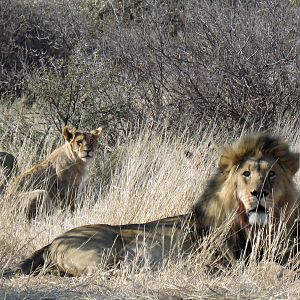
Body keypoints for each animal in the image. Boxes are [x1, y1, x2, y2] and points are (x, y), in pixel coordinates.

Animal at [3, 134, 298, 276]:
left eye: (272, 174)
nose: (259, 192)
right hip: (102, 255)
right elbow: (273, 269)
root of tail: (52, 241)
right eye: (246, 174)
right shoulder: (221, 264)